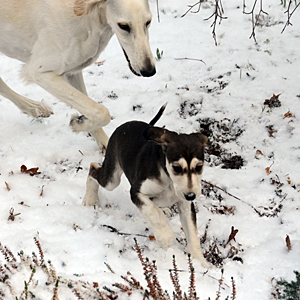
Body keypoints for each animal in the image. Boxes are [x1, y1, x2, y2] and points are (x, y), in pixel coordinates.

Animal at [0, 0, 156, 148]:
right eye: (123, 26)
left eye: (148, 22)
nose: (149, 71)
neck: (88, 16)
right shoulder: (40, 72)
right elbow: (101, 112)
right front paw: (77, 123)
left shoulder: (73, 71)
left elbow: (91, 110)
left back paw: (34, 108)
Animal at [82, 104, 209, 268]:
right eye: (177, 168)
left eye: (199, 167)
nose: (191, 195)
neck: (169, 180)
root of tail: (128, 124)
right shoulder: (136, 192)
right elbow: (153, 212)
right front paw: (165, 237)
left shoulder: (185, 205)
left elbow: (193, 235)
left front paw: (202, 263)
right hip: (111, 179)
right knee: (93, 168)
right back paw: (90, 198)